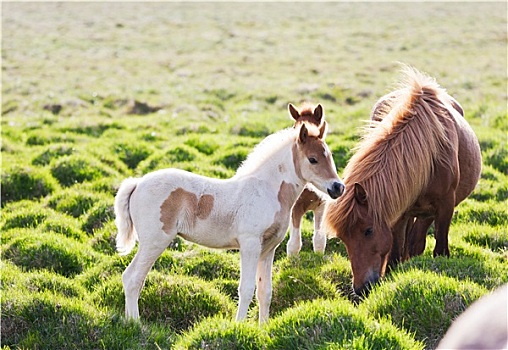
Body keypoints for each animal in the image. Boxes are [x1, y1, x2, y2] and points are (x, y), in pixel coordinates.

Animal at [115, 112, 346, 326]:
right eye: (312, 159)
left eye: (330, 155)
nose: (338, 188)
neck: (267, 190)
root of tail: (137, 183)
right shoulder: (249, 244)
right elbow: (246, 288)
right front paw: (239, 326)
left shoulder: (268, 249)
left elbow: (265, 291)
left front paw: (262, 328)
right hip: (154, 242)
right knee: (132, 278)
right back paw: (136, 324)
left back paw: (128, 322)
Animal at [324, 65, 482, 296]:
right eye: (343, 238)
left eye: (368, 230)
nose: (361, 289)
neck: (429, 155)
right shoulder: (399, 213)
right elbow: (395, 255)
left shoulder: (445, 206)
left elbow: (439, 250)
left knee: (418, 241)